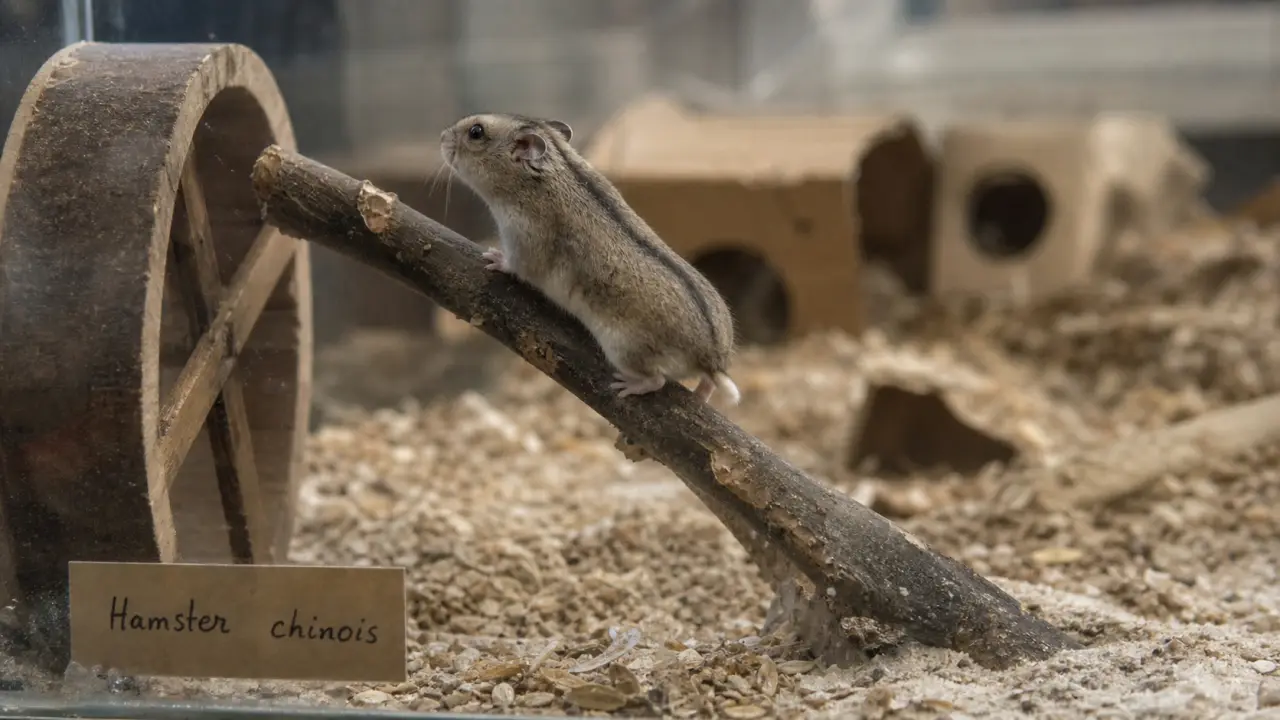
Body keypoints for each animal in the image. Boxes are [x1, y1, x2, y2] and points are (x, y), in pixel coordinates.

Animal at [440, 113, 740, 405]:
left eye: (476, 132)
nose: (442, 136)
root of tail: (711, 359)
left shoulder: (524, 240)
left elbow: (514, 264)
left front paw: (492, 256)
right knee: (706, 385)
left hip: (625, 350)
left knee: (657, 380)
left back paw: (625, 385)